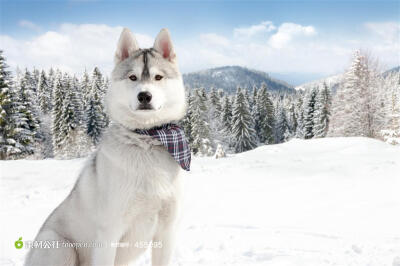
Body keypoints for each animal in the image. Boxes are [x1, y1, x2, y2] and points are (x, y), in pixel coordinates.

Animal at [25, 27, 188, 266]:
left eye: (158, 77)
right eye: (132, 77)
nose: (144, 96)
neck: (146, 141)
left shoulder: (166, 232)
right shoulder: (109, 232)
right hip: (58, 245)